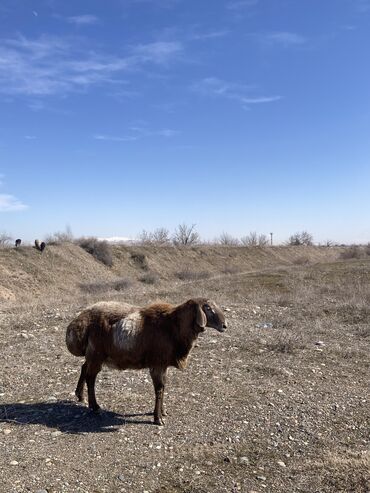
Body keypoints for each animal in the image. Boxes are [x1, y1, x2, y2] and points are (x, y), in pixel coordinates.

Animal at [65, 298, 227, 424]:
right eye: (208, 308)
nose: (224, 325)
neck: (173, 326)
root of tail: (80, 321)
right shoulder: (157, 364)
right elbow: (159, 389)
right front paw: (157, 418)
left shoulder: (163, 365)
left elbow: (163, 387)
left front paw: (163, 412)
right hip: (96, 354)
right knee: (90, 377)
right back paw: (95, 406)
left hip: (92, 354)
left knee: (84, 368)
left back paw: (80, 396)